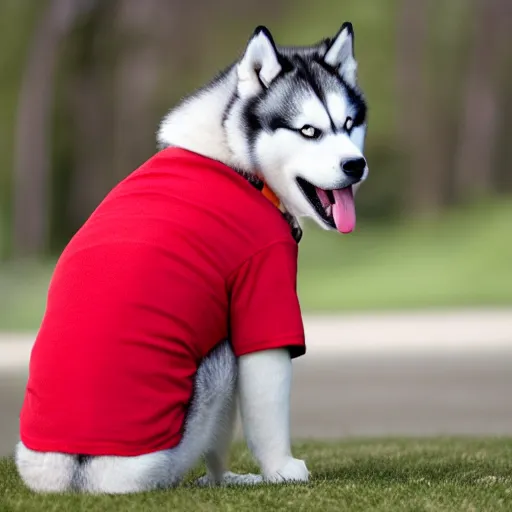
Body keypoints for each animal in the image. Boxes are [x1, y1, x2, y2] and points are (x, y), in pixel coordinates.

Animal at [16, 23, 368, 492]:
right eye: (309, 131)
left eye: (348, 124)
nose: (356, 165)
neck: (235, 159)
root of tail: (81, 475)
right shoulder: (263, 276)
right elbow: (267, 403)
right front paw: (281, 470)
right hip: (201, 396)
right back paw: (226, 478)